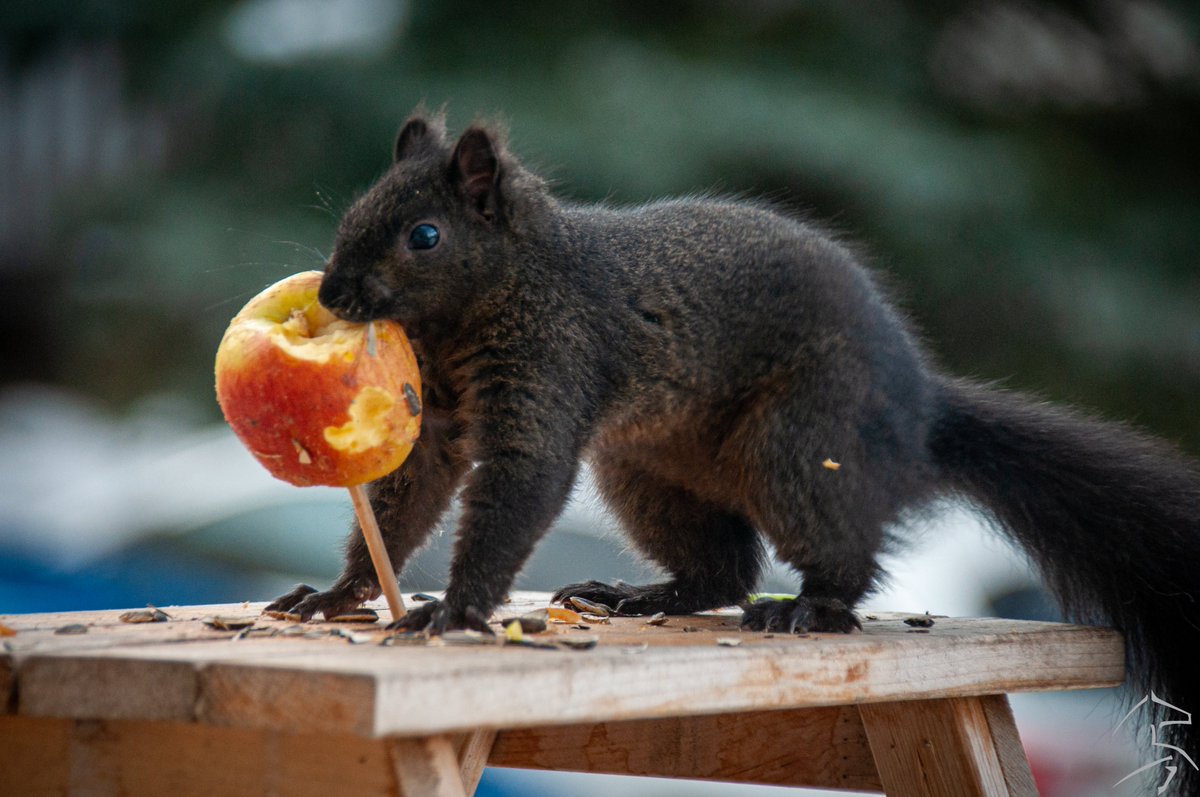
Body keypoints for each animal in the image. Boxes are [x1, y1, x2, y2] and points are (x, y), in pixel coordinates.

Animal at [266, 109, 1200, 785]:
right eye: (352, 214)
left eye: (424, 236)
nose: (333, 292)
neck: (500, 288)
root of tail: (919, 414)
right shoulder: (437, 416)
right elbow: (406, 495)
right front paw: (345, 592)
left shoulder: (552, 359)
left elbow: (521, 480)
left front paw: (454, 609)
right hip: (648, 470)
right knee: (724, 567)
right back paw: (640, 594)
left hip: (800, 443)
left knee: (841, 556)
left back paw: (809, 608)